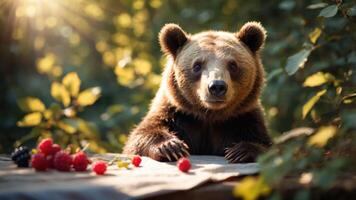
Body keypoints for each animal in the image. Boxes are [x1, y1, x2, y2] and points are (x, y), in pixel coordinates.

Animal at [123, 21, 272, 163]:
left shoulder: (242, 119)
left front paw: (240, 152)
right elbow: (140, 136)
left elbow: (263, 144)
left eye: (233, 65)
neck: (209, 115)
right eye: (197, 65)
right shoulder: (177, 114)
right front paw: (171, 147)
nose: (217, 86)